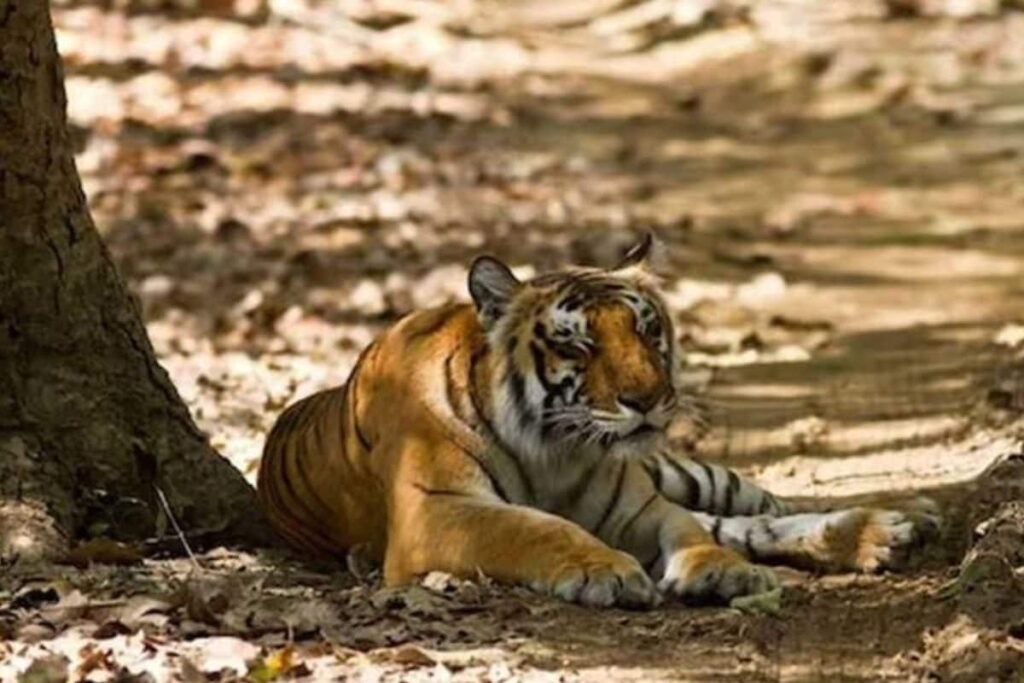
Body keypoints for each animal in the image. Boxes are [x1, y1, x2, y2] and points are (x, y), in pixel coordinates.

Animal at [258, 235, 939, 608]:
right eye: (578, 345)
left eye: (647, 329)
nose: (649, 398)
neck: (554, 449)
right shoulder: (435, 511)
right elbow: (534, 527)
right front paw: (603, 571)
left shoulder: (640, 505)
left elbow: (690, 530)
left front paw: (719, 571)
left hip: (684, 473)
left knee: (758, 508)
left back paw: (894, 523)